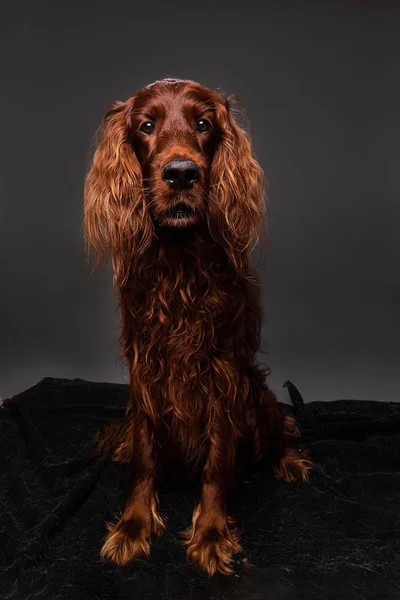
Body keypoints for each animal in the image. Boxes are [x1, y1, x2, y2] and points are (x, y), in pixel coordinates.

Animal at [83, 77, 312, 576]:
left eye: (204, 124)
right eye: (146, 126)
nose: (182, 174)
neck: (180, 260)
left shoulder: (223, 371)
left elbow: (217, 462)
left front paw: (210, 534)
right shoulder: (146, 367)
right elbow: (145, 454)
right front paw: (133, 527)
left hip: (257, 396)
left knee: (278, 427)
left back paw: (289, 462)